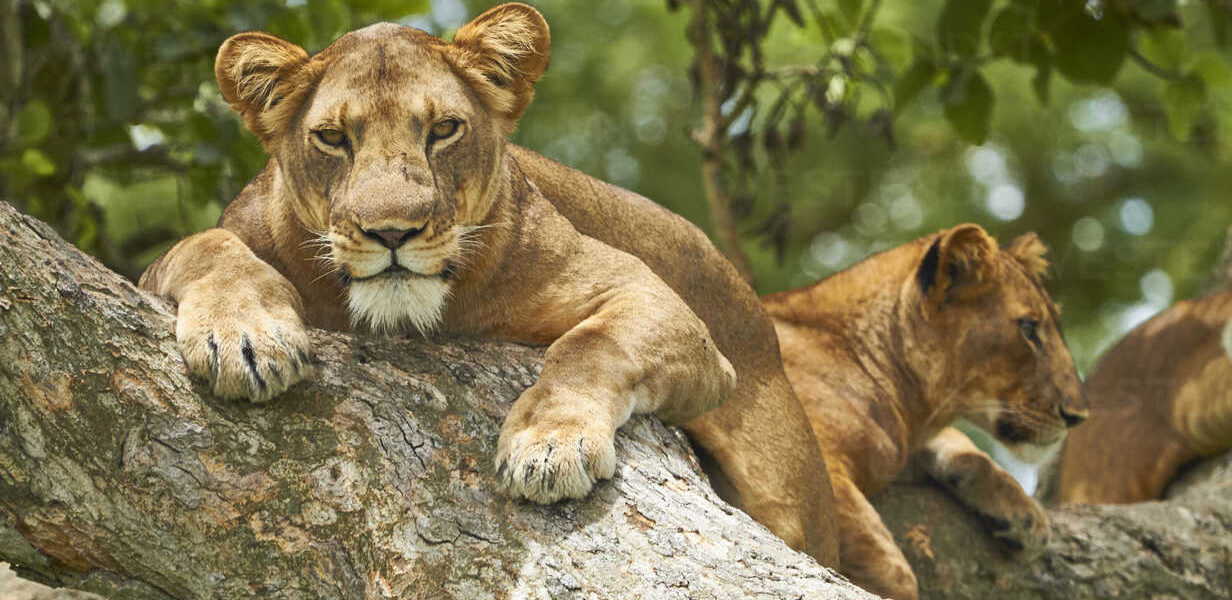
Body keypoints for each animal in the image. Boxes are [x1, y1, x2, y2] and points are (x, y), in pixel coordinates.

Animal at [139, 3, 840, 567]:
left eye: (443, 130)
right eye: (333, 138)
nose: (391, 232)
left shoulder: (651, 296)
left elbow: (589, 346)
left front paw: (549, 444)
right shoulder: (195, 251)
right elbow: (204, 246)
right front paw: (245, 338)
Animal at [763, 224, 1087, 600]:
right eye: (1030, 328)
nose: (1078, 415)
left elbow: (961, 444)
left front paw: (1026, 518)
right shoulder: (815, 456)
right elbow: (890, 569)